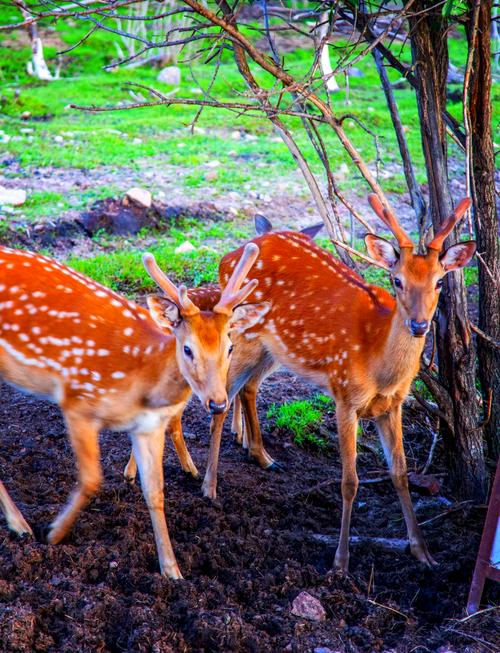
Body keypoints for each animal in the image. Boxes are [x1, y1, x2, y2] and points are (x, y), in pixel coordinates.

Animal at [0, 242, 266, 580]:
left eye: (229, 347)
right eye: (187, 349)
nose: (217, 402)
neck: (143, 380)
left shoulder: (148, 427)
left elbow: (155, 492)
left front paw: (173, 573)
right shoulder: (78, 399)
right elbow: (92, 479)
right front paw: (52, 534)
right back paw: (21, 526)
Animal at [201, 195, 474, 572]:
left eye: (439, 282)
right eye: (397, 280)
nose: (419, 325)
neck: (379, 367)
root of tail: (230, 255)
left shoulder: (393, 405)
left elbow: (401, 473)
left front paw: (423, 552)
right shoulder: (345, 395)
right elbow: (349, 481)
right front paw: (340, 562)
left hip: (273, 348)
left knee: (248, 388)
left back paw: (265, 458)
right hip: (243, 332)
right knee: (222, 399)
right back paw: (209, 488)